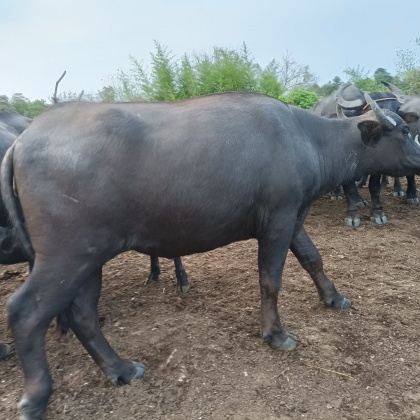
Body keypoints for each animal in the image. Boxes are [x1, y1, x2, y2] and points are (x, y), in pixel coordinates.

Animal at [3, 92, 420, 420]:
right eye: (404, 131)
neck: (306, 138)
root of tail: (21, 142)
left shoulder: (293, 218)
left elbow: (312, 257)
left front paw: (334, 298)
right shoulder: (279, 221)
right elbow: (271, 278)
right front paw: (276, 333)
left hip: (90, 260)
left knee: (82, 314)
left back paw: (120, 369)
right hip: (67, 256)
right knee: (25, 312)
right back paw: (36, 400)